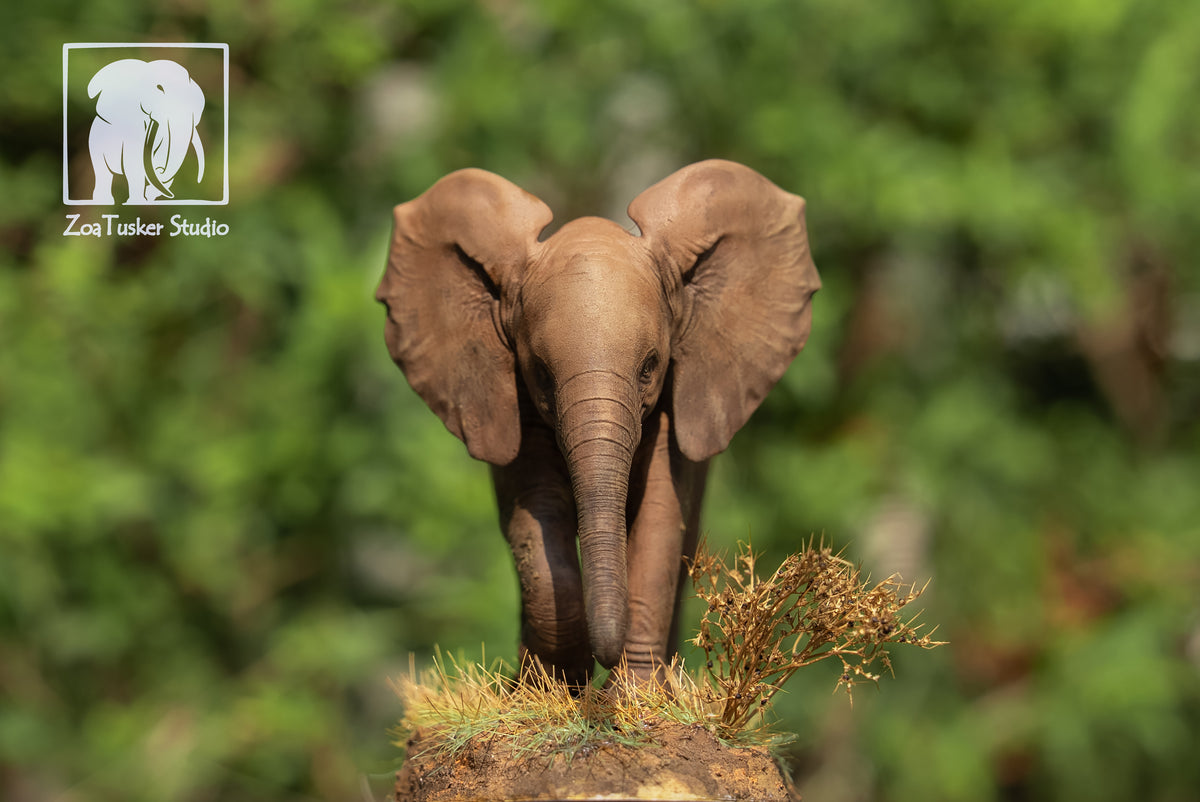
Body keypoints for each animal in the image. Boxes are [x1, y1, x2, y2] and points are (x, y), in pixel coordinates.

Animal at [376, 160, 820, 685]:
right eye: (541, 374)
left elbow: (660, 511)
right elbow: (538, 507)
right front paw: (552, 684)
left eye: (650, 366)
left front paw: (631, 695)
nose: (600, 659)